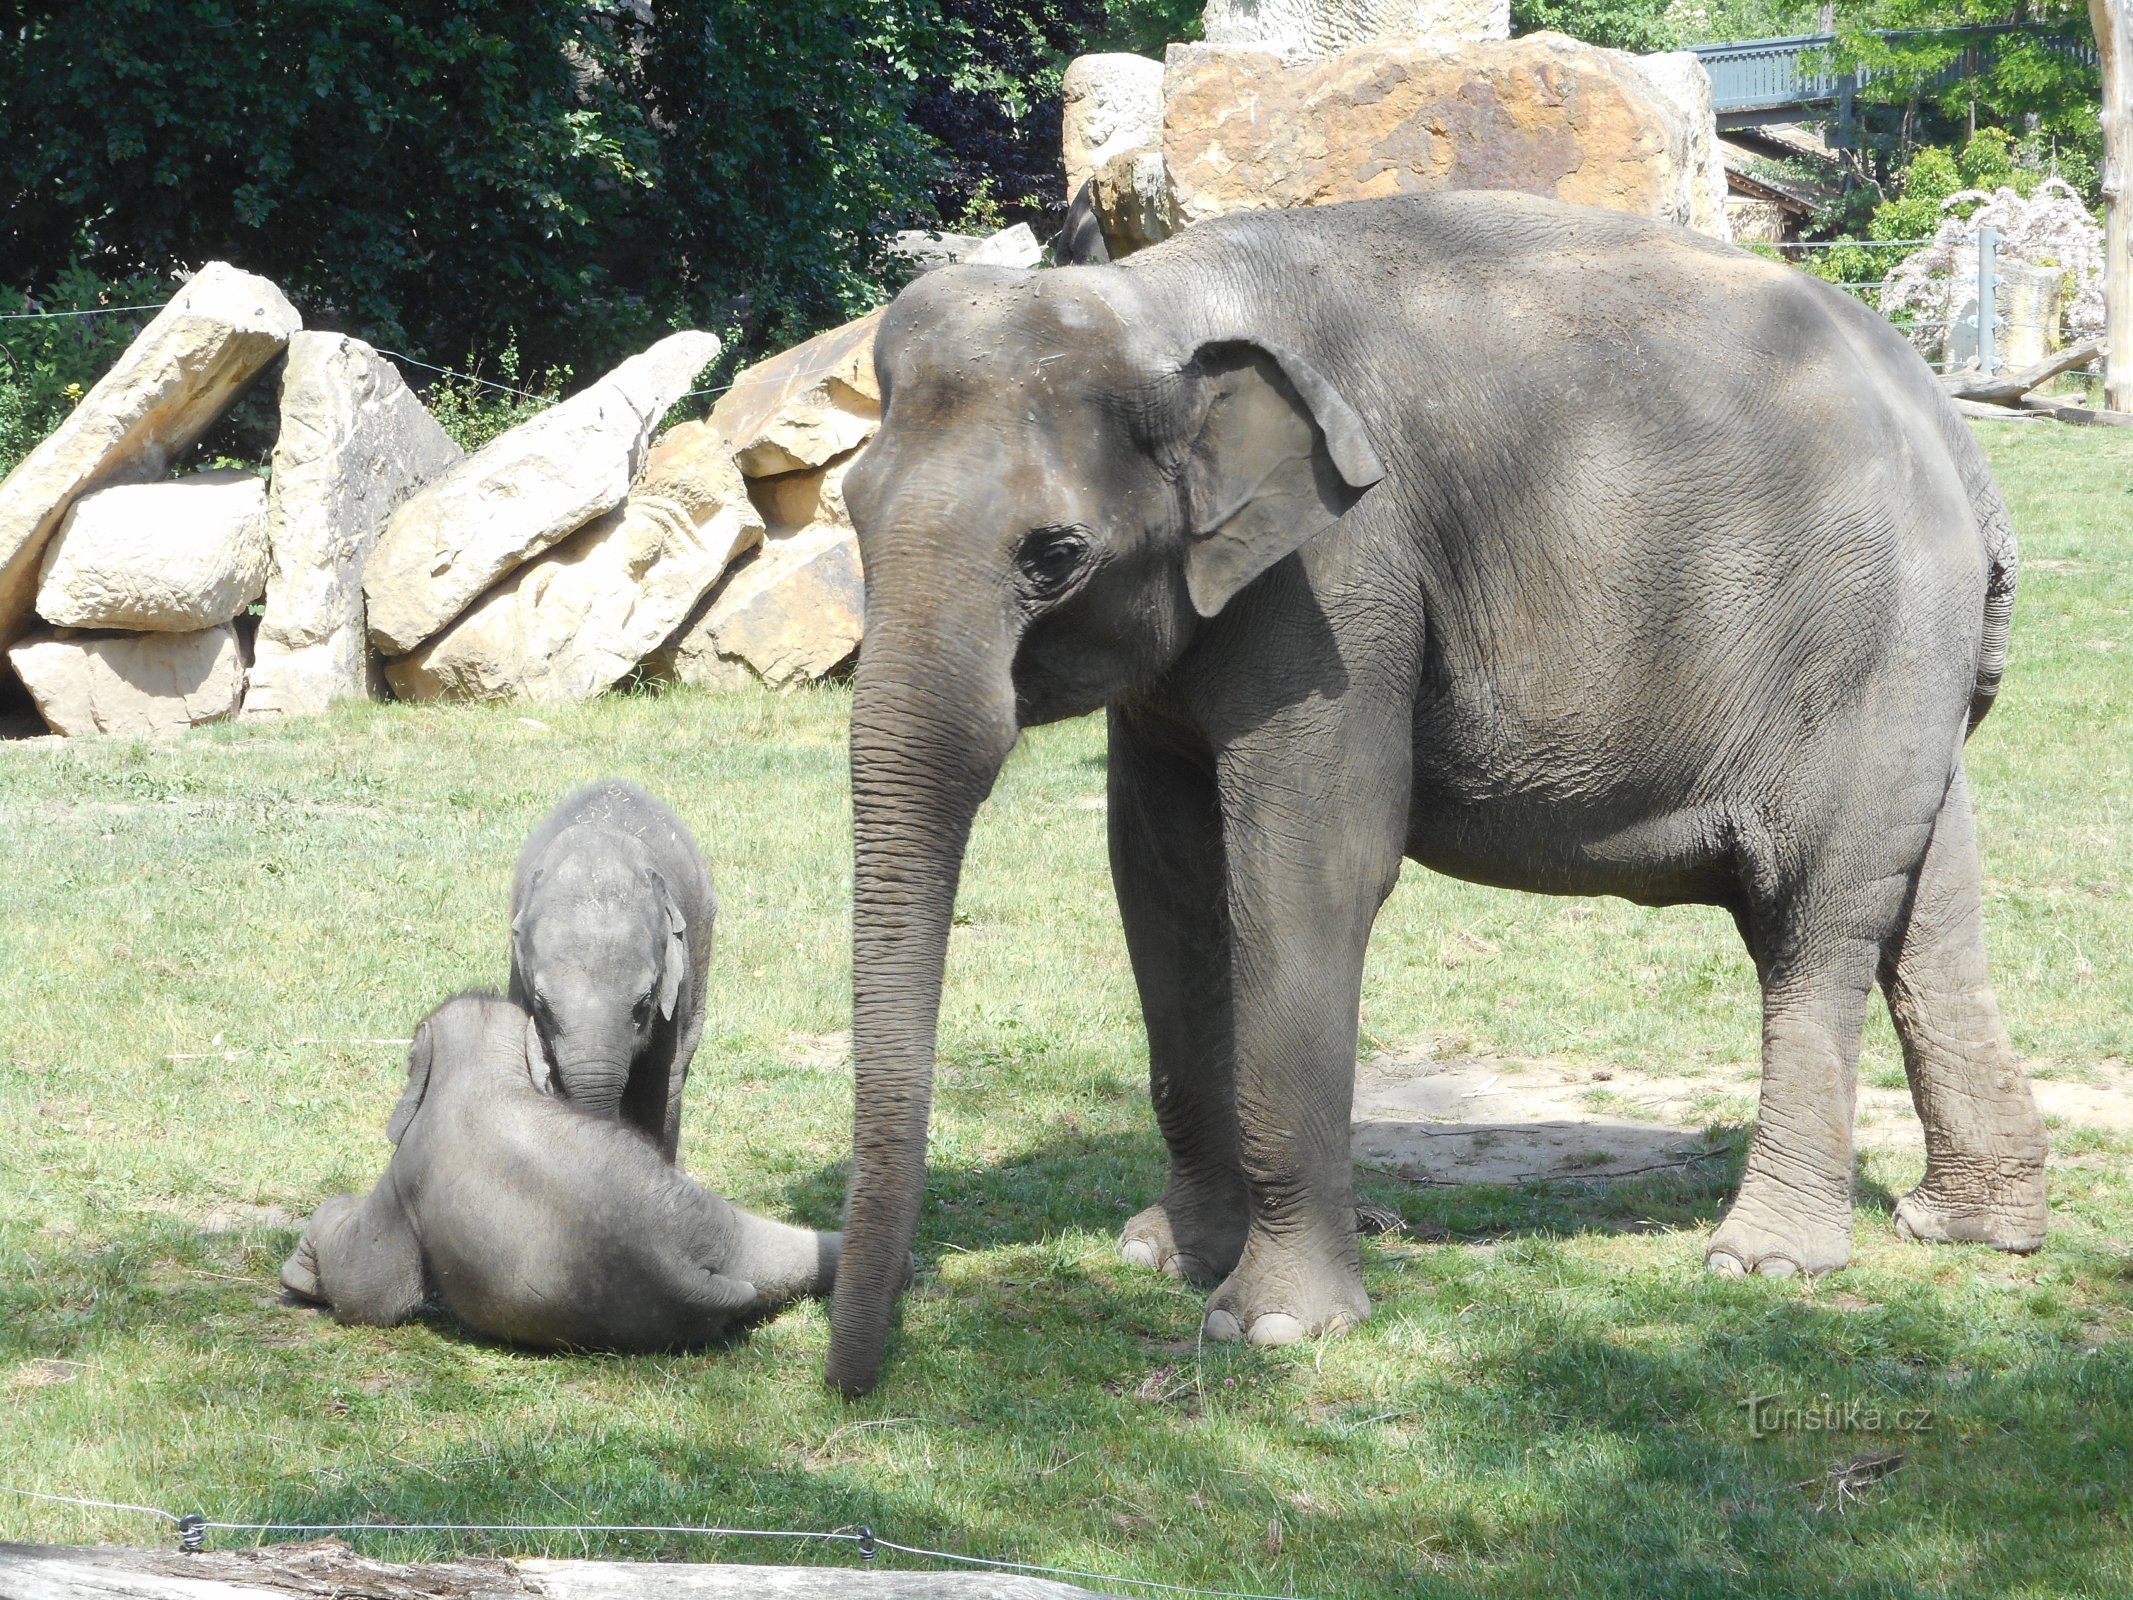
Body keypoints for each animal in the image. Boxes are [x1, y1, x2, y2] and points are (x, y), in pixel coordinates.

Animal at [819, 187, 2047, 1399]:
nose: (855, 1376)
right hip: (1906, 672)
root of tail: (1959, 442)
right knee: (1928, 907)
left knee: (1815, 915)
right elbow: (1161, 878)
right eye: (850, 508)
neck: (1161, 292)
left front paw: (1272, 1327)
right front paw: (1164, 1255)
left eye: (1054, 555)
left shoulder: (1343, 581)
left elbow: (1306, 869)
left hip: (1862, 642)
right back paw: (1970, 1228)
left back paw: (1766, 1258)